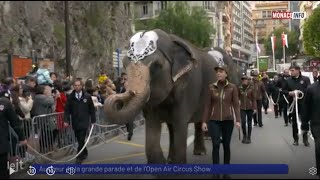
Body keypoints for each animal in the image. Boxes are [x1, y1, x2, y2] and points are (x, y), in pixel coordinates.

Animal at [104, 28, 240, 164]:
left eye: (156, 65)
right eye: (124, 63)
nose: (123, 92)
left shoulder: (188, 86)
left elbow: (180, 122)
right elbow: (152, 123)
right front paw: (163, 163)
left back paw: (200, 152)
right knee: (173, 126)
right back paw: (175, 157)